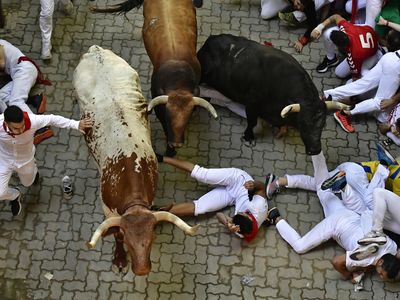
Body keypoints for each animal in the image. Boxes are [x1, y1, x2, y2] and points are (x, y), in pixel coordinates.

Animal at [73, 45, 198, 276]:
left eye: (152, 238)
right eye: (128, 240)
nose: (142, 270)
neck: (128, 169)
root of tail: (96, 50)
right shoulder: (107, 209)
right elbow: (115, 233)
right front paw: (120, 259)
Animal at [197, 34, 328, 156]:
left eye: (322, 125)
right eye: (303, 124)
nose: (315, 150)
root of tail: (211, 39)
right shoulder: (252, 104)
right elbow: (252, 122)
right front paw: (248, 137)